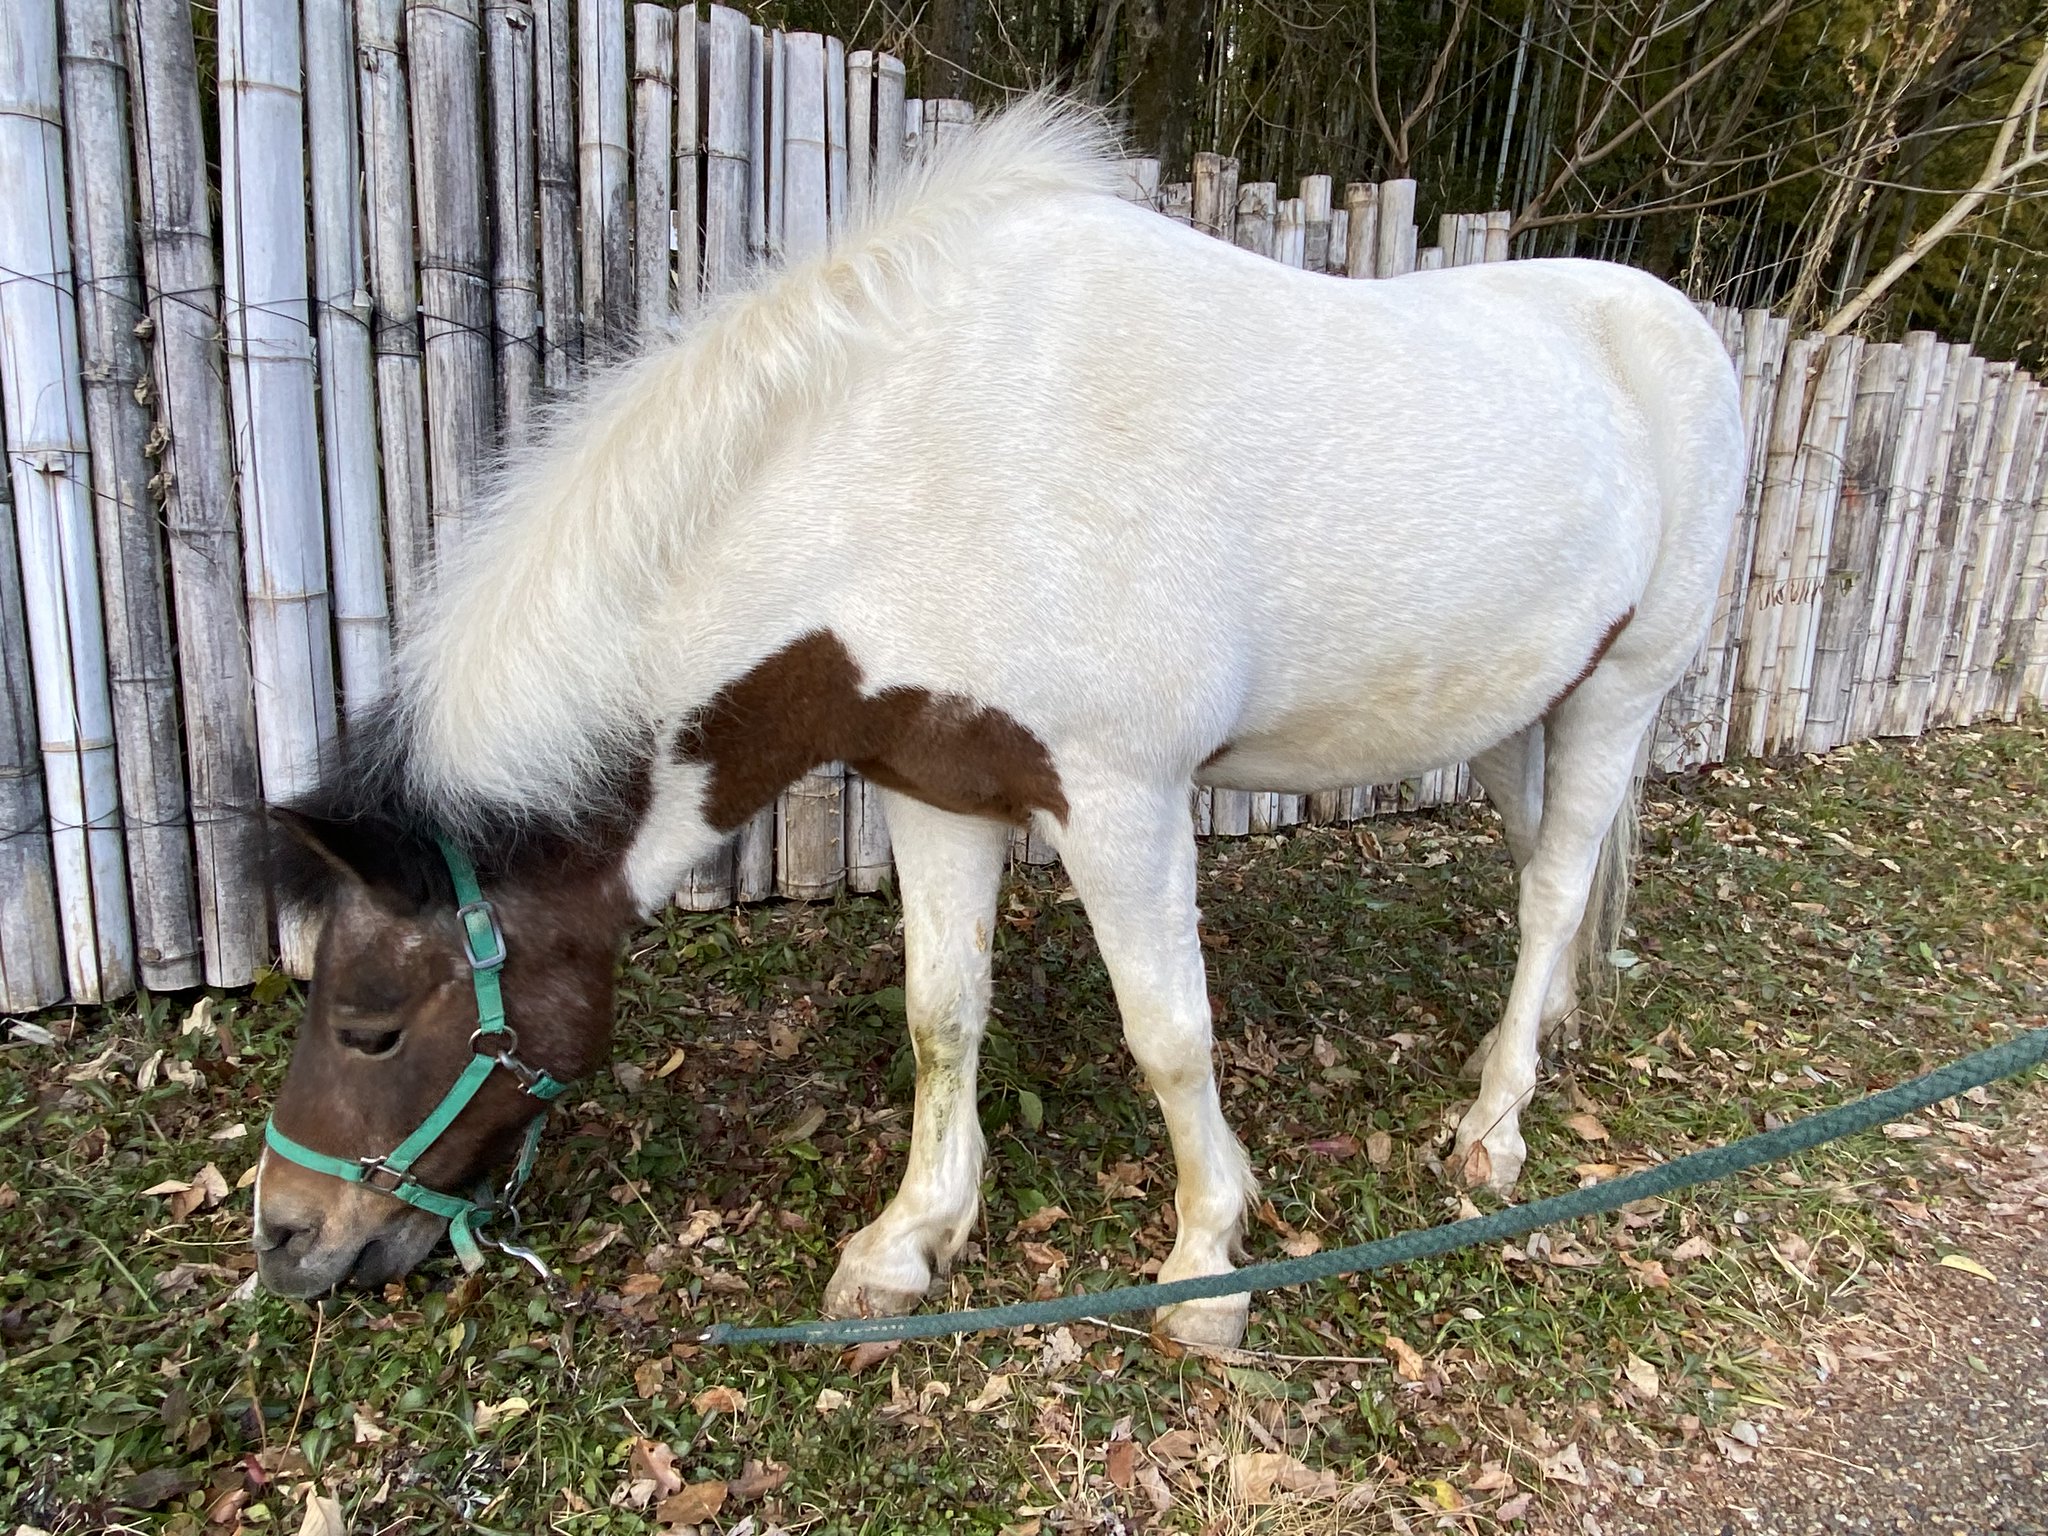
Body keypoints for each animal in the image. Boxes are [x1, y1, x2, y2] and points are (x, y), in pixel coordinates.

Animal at [252, 98, 1742, 1347]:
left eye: (371, 1024)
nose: (287, 1237)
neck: (924, 469)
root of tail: (1674, 322)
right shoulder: (936, 784)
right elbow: (941, 1016)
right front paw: (908, 1241)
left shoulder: (1120, 801)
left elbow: (1168, 1034)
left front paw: (1206, 1267)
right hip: (1513, 708)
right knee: (1543, 870)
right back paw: (1520, 1055)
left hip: (1623, 691)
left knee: (1550, 892)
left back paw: (1495, 1131)